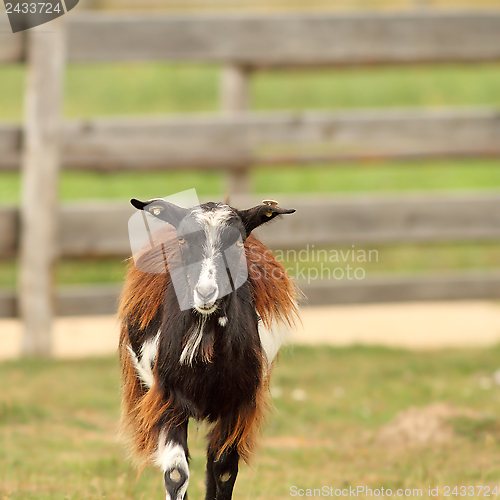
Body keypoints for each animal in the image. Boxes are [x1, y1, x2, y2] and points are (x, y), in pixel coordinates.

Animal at [117, 200, 298, 500]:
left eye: (238, 242)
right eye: (182, 240)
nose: (205, 292)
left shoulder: (240, 403)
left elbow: (223, 469)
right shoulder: (167, 398)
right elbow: (176, 474)